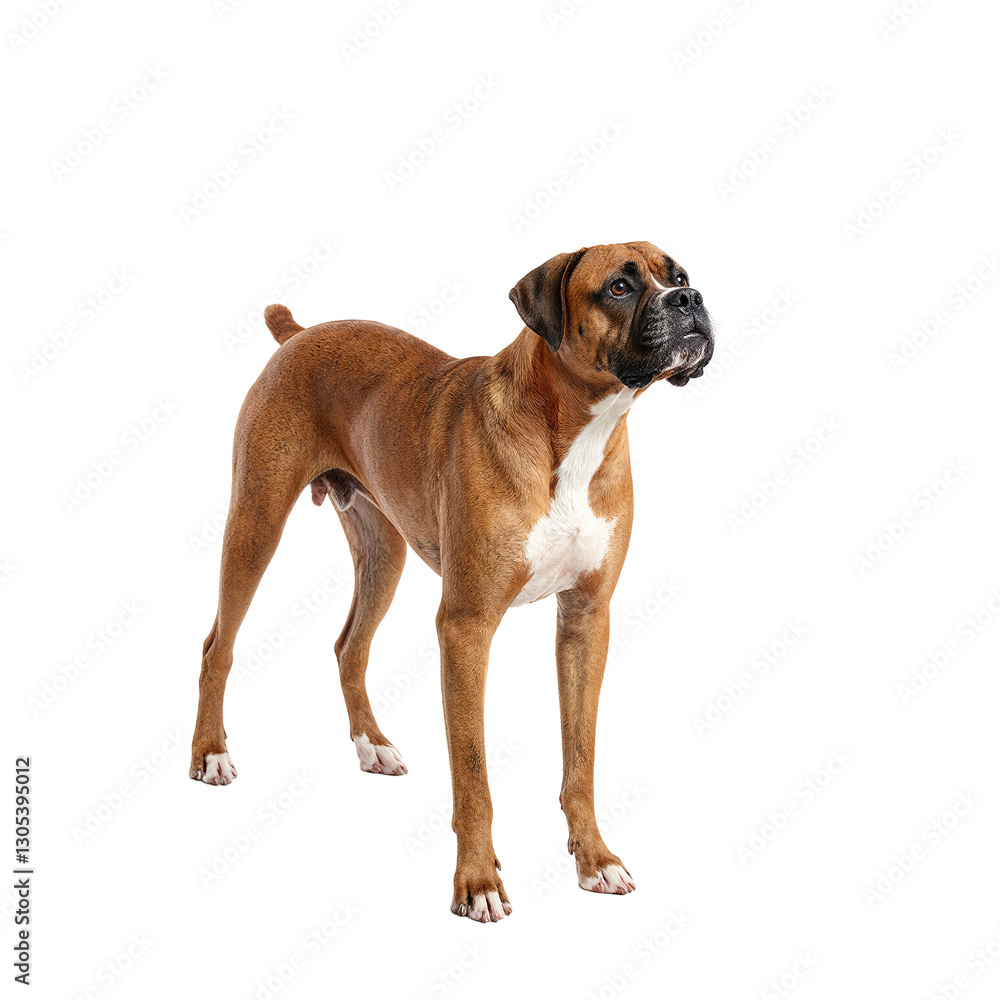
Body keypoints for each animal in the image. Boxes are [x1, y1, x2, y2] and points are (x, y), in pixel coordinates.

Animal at [189, 241, 714, 922]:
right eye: (620, 287)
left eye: (680, 275)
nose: (690, 299)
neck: (574, 431)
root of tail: (299, 333)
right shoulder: (466, 629)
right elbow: (473, 773)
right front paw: (477, 882)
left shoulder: (585, 621)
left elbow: (581, 758)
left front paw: (595, 859)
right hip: (256, 523)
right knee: (217, 647)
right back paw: (211, 752)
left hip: (382, 552)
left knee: (348, 646)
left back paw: (372, 745)